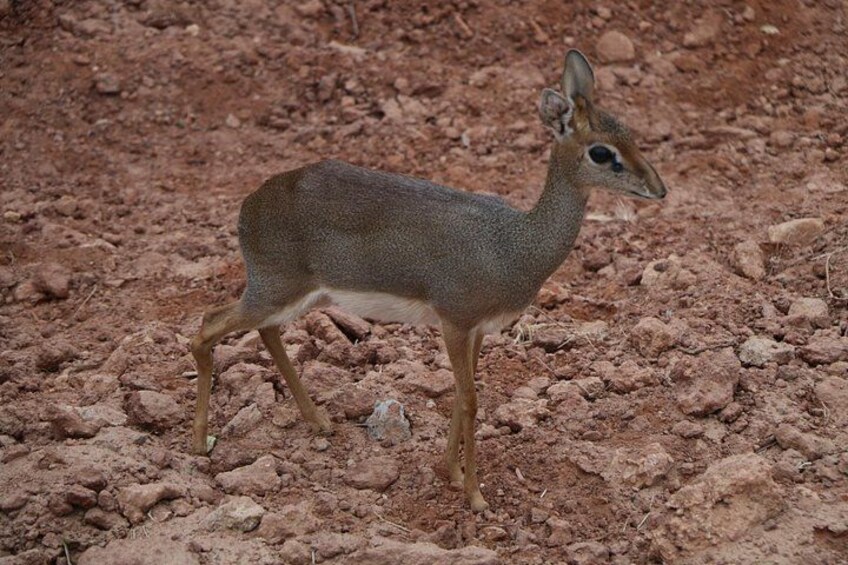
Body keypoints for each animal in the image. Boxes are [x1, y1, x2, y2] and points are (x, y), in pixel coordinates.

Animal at [190, 50, 667, 512]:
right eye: (601, 152)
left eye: (628, 131)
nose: (658, 189)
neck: (512, 246)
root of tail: (249, 205)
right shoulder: (454, 322)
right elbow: (470, 400)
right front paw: (475, 496)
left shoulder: (479, 329)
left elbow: (460, 394)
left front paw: (451, 473)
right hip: (275, 289)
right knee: (208, 325)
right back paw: (198, 445)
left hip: (299, 296)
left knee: (263, 331)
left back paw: (320, 421)